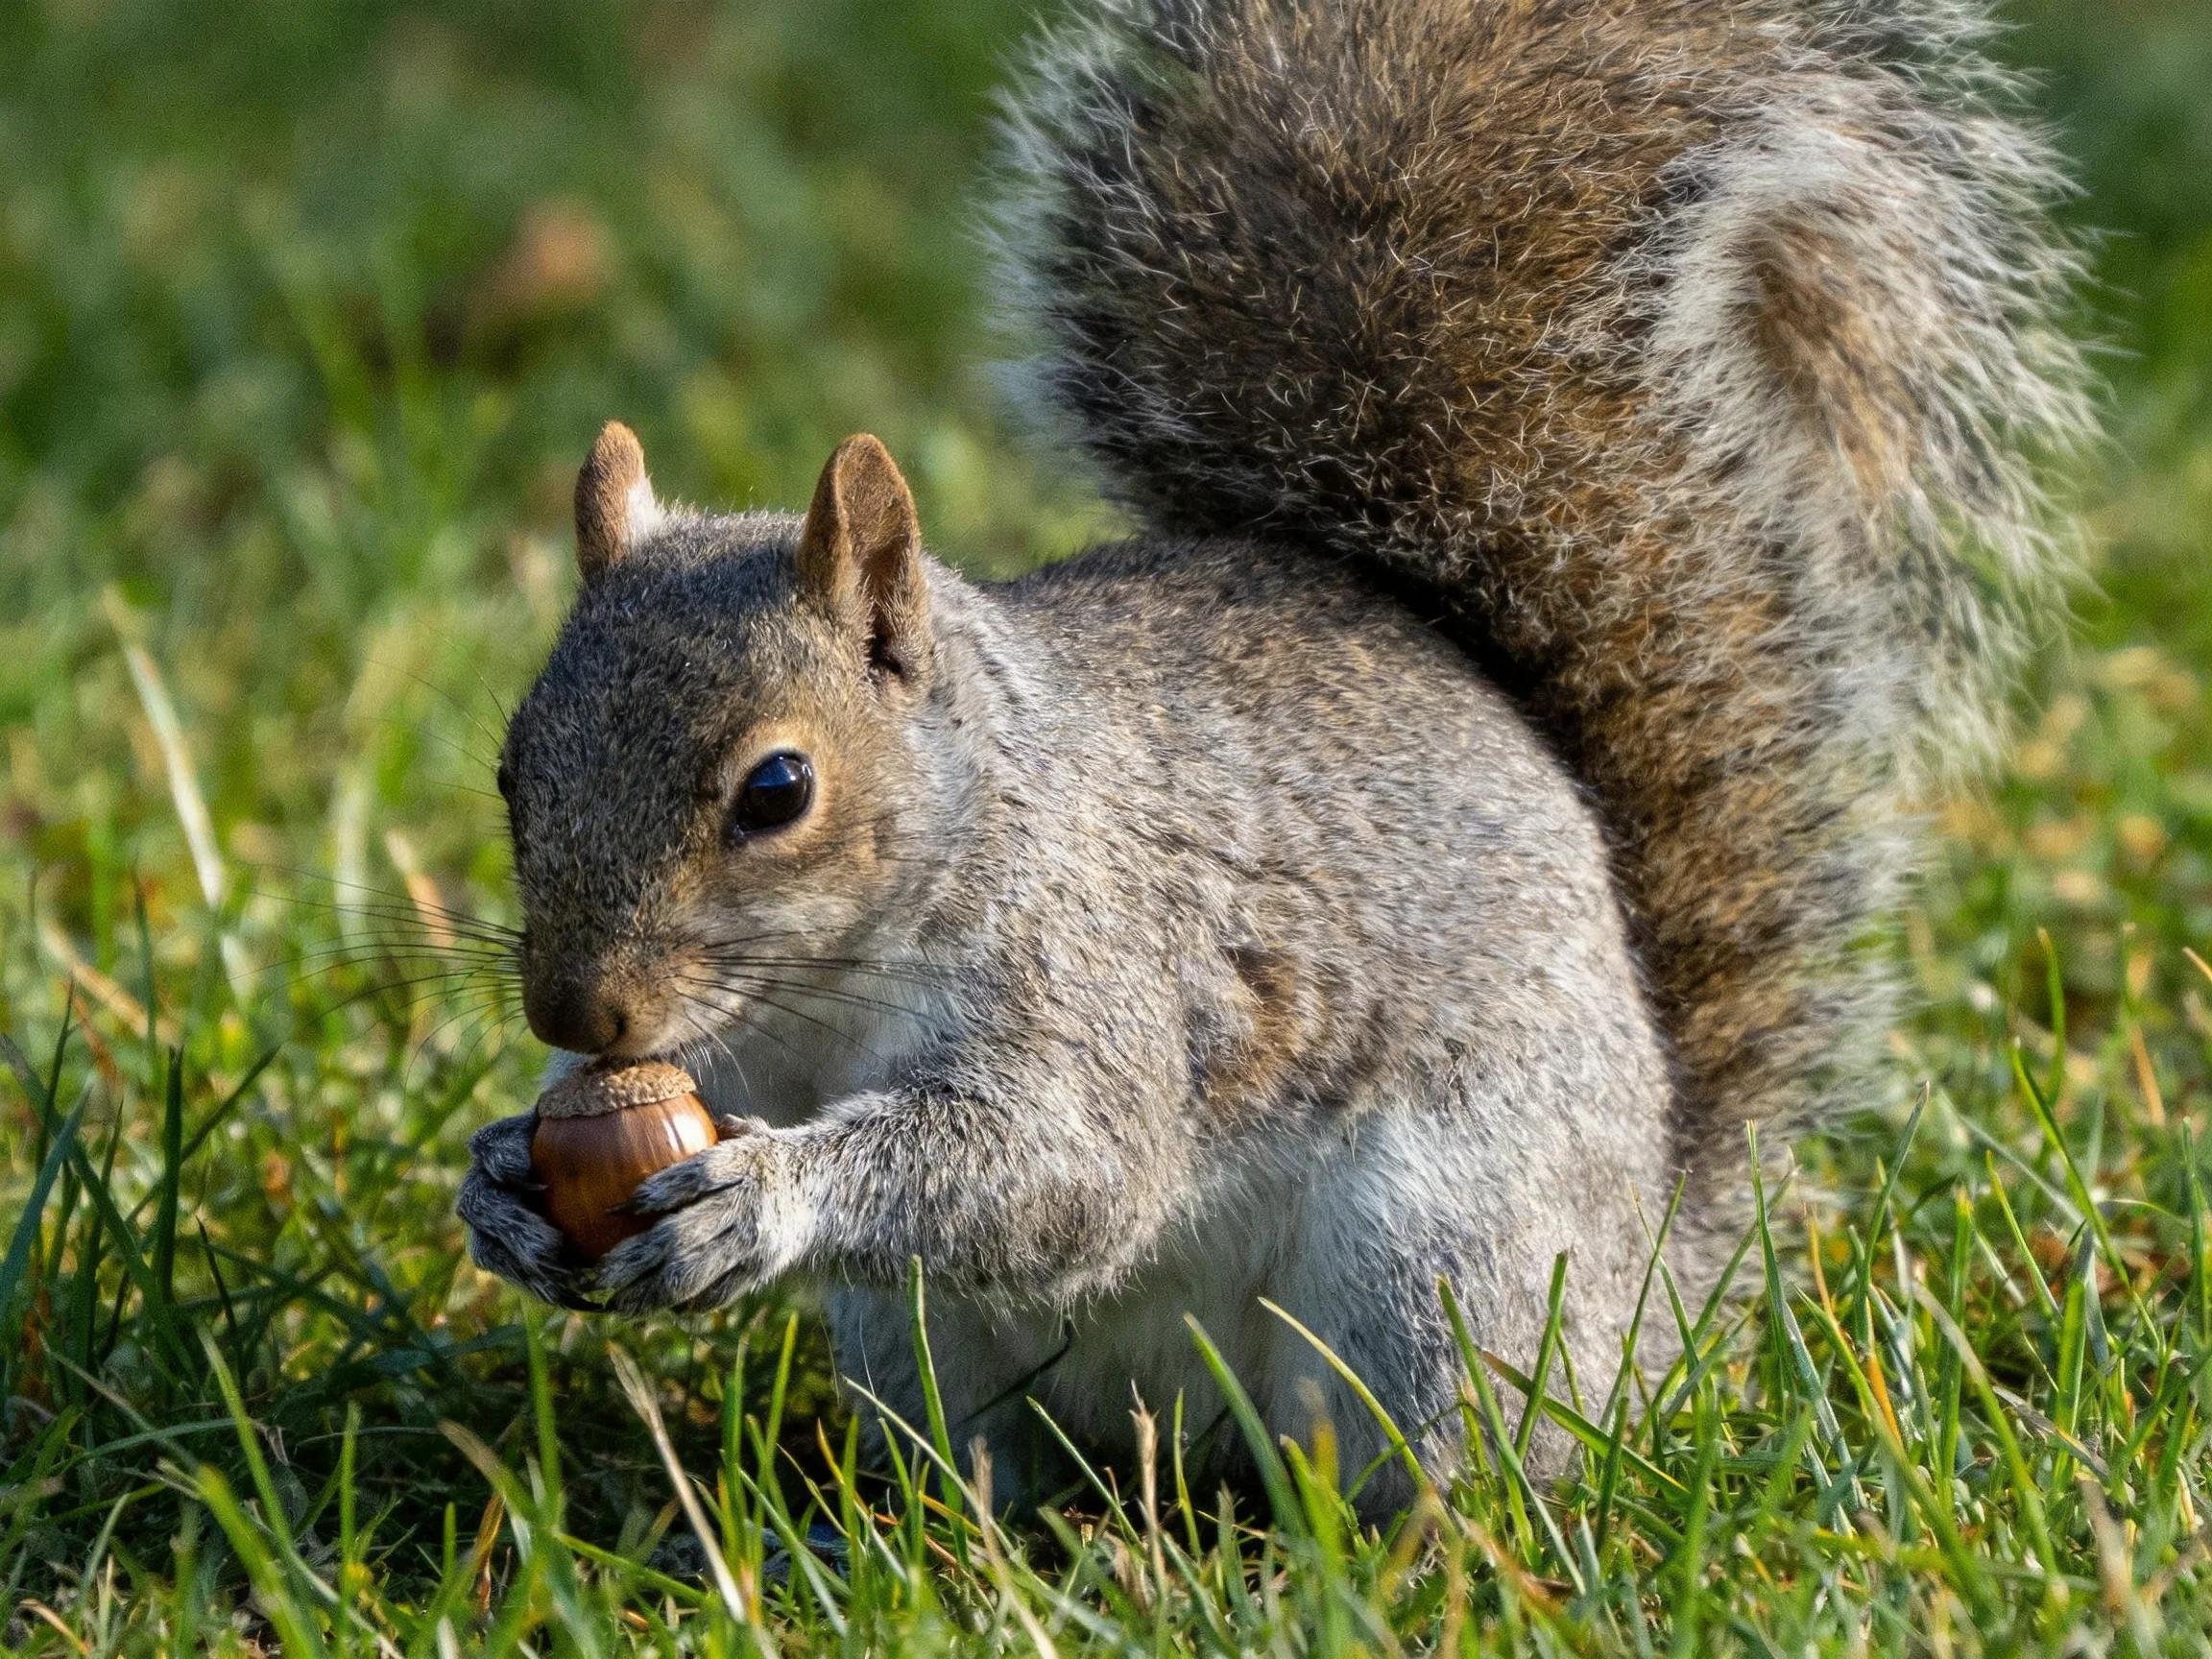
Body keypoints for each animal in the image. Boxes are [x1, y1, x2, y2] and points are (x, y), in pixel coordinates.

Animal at [458, 0, 2089, 1513]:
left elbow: (1059, 1167)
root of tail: (1649, 1282)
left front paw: (764, 1194)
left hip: (1438, 1274)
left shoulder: (1104, 969)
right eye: (509, 769)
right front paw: (502, 1185)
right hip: (928, 1351)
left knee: (1451, 1457)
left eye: (779, 791)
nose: (575, 1007)